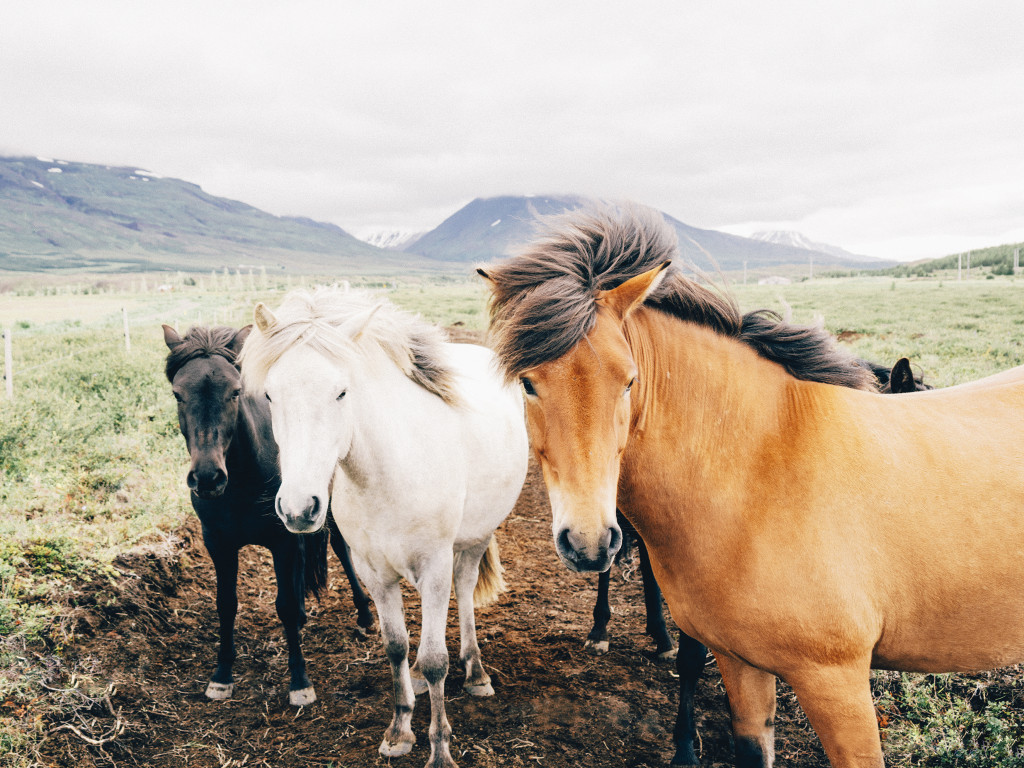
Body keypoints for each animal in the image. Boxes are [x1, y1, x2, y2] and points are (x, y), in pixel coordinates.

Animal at [163, 324, 374, 706]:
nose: (207, 478)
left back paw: (364, 616)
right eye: (177, 394)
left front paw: (300, 682)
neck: (242, 482)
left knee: (341, 549)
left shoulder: (282, 539)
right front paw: (221, 676)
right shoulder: (218, 544)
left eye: (235, 392)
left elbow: (286, 605)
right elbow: (226, 604)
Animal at [238, 286, 529, 768]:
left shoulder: (434, 568)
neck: (388, 472)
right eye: (271, 397)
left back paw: (476, 671)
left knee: (466, 590)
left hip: (475, 539)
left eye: (341, 392)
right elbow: (396, 646)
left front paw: (440, 750)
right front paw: (399, 730)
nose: (298, 508)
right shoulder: (373, 573)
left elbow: (435, 658)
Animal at [479, 205, 1024, 768]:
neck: (762, 475)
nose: (587, 540)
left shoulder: (834, 680)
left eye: (629, 380)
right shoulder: (742, 663)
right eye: (527, 383)